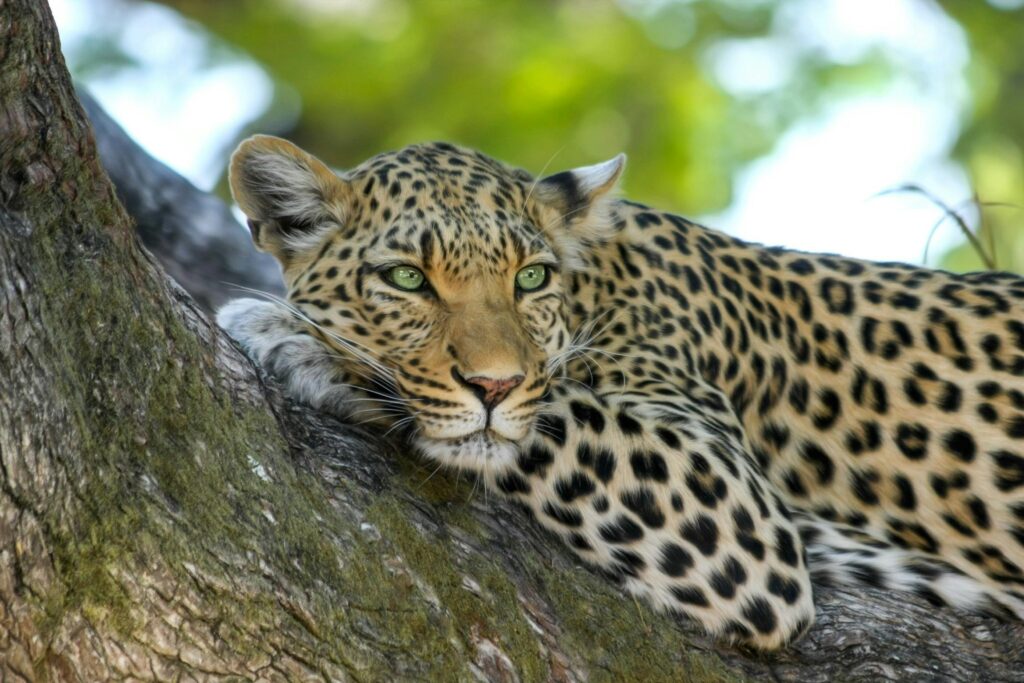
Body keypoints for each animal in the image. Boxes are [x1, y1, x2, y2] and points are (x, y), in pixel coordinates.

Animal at [216, 135, 1024, 651]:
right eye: (407, 278)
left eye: (530, 277)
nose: (494, 383)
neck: (597, 287)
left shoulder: (735, 508)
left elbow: (551, 413)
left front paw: (296, 337)